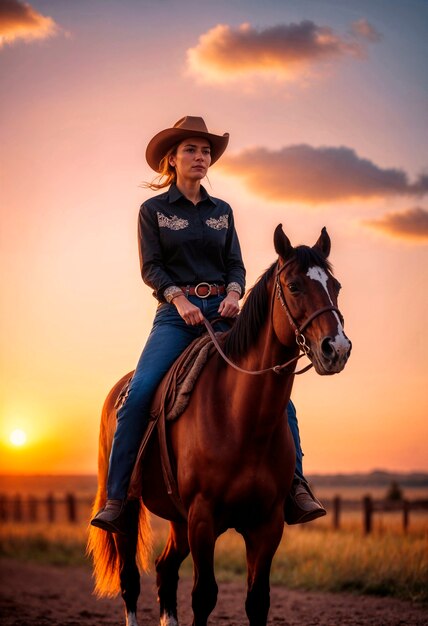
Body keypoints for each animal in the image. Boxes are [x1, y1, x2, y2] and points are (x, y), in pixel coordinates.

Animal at [87, 225, 352, 624]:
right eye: (293, 286)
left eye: (335, 285)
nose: (337, 348)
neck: (241, 420)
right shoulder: (203, 519)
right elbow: (204, 596)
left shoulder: (266, 524)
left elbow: (257, 600)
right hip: (129, 514)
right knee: (130, 580)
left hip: (178, 521)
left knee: (165, 571)